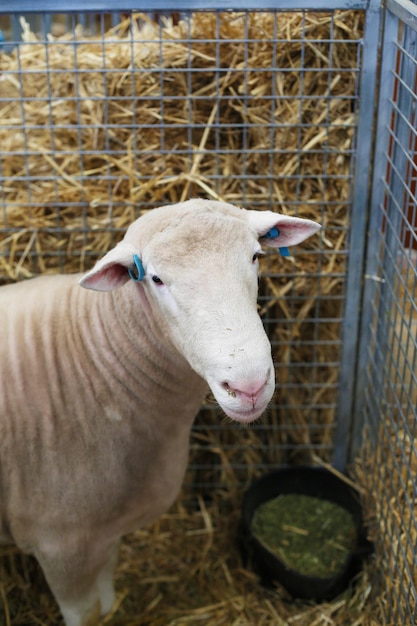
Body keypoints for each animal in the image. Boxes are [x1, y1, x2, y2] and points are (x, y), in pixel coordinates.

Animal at [0, 200, 318, 624]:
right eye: (156, 279)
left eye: (254, 256)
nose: (249, 387)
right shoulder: (63, 545)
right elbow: (89, 613)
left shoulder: (105, 534)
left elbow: (107, 602)